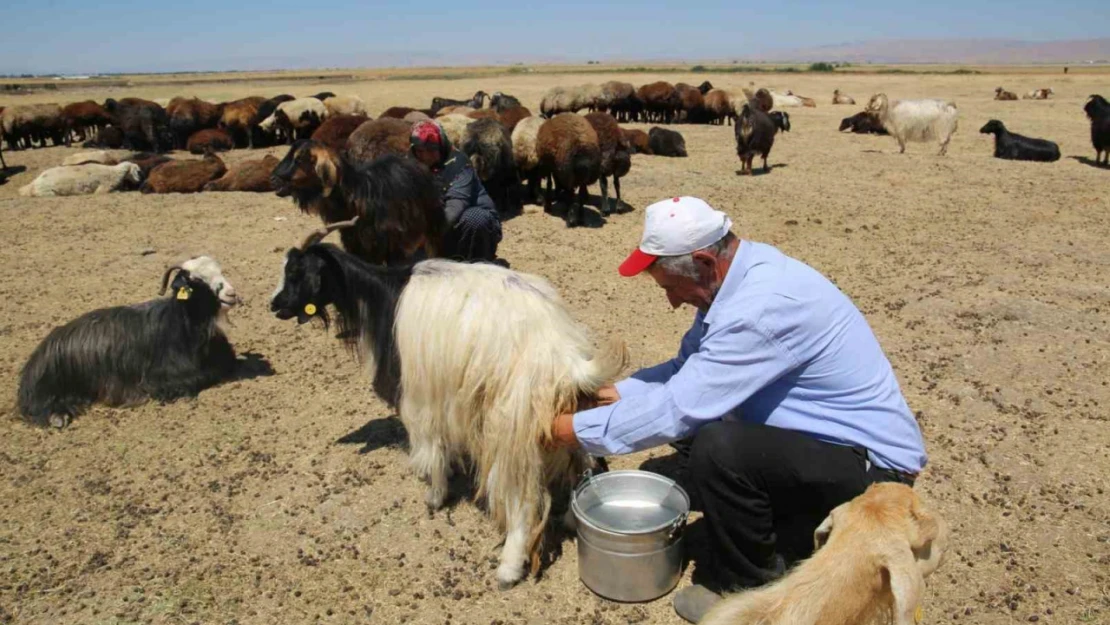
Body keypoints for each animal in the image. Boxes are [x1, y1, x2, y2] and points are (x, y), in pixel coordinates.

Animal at [17, 256, 244, 428]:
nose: (231, 294)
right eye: (196, 281)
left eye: (220, 271)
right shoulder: (158, 381)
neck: (181, 326)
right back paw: (57, 417)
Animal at [270, 140, 444, 265]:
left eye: (299, 159)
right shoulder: (356, 245)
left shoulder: (392, 246)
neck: (358, 194)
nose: (273, 179)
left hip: (432, 227)